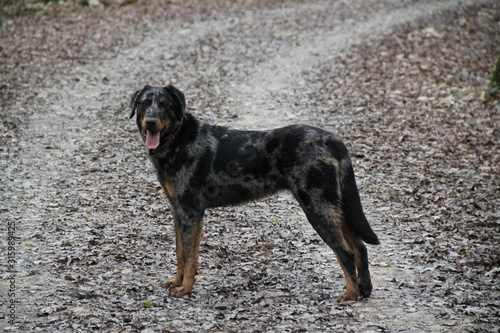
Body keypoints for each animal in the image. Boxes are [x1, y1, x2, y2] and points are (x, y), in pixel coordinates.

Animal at [129, 84, 378, 302]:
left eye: (165, 104)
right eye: (144, 103)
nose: (150, 122)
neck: (179, 138)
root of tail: (332, 139)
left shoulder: (190, 211)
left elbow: (190, 256)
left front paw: (185, 289)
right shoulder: (177, 210)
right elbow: (180, 252)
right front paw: (177, 281)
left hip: (318, 208)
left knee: (346, 252)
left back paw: (351, 294)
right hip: (336, 207)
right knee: (360, 248)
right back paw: (364, 289)